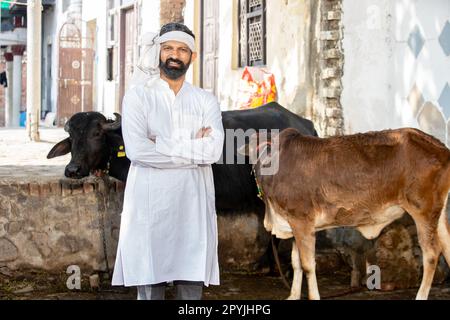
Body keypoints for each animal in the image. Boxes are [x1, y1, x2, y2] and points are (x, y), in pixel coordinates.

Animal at [239, 127, 450, 300]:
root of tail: (440, 147)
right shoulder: (294, 224)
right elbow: (296, 262)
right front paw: (293, 296)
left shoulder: (302, 220)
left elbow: (307, 265)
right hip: (437, 215)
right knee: (447, 246)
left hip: (423, 210)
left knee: (432, 253)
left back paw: (420, 295)